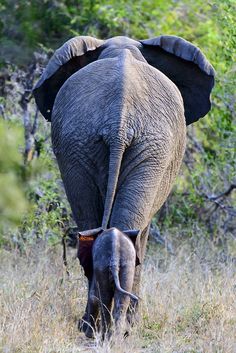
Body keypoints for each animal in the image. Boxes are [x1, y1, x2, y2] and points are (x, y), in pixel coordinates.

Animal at [32, 33, 214, 322]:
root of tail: (118, 121)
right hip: (142, 147)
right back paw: (117, 323)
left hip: (90, 143)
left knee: (93, 231)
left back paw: (97, 324)